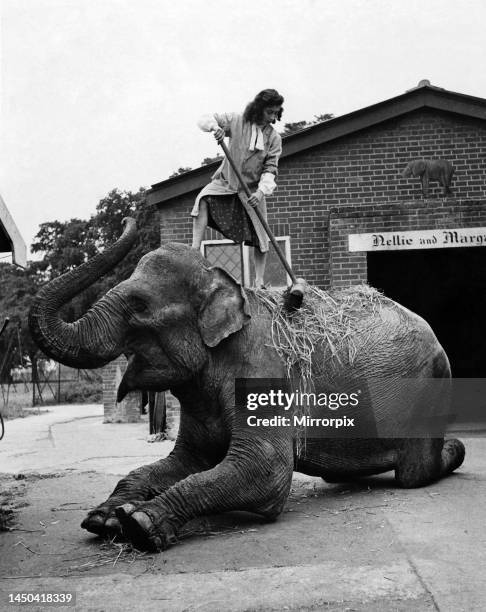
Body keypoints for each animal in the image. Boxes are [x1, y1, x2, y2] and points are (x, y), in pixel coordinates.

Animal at [27, 219, 468, 548]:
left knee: (415, 472)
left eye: (139, 307)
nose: (130, 218)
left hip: (429, 388)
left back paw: (454, 449)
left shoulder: (263, 373)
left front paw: (139, 523)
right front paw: (103, 518)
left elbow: (265, 470)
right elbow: (182, 463)